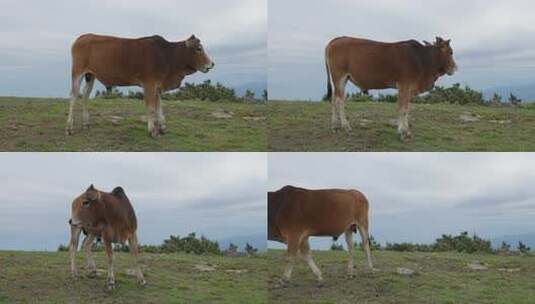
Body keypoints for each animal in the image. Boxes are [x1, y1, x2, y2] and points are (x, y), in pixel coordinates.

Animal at [67, 33, 216, 137]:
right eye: (198, 48)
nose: (212, 64)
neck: (167, 55)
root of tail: (82, 37)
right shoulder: (149, 83)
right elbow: (151, 108)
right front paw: (152, 131)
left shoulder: (158, 85)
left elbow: (159, 106)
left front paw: (161, 127)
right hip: (77, 72)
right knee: (73, 97)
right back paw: (69, 128)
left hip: (90, 75)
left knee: (85, 96)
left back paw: (86, 124)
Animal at [324, 36, 458, 141]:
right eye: (451, 52)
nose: (455, 68)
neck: (422, 59)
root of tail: (334, 40)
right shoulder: (404, 85)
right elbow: (402, 109)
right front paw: (403, 133)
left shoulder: (408, 88)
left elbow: (406, 109)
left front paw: (405, 131)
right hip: (339, 77)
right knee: (339, 101)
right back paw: (346, 127)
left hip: (341, 80)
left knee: (334, 99)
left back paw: (334, 126)